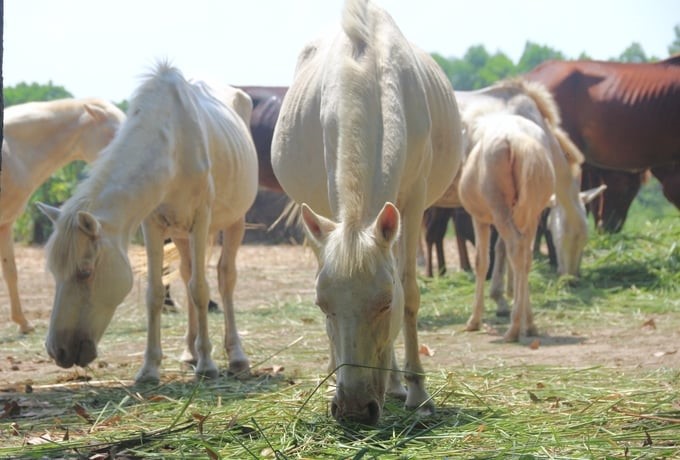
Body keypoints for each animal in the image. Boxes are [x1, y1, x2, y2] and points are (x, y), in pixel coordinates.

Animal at [38, 63, 258, 382]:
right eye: (54, 272)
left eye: (85, 272)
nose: (58, 351)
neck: (173, 145)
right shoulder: (153, 226)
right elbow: (156, 292)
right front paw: (150, 367)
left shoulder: (201, 219)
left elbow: (201, 289)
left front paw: (208, 364)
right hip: (181, 234)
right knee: (188, 273)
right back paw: (189, 352)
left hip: (233, 222)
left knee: (224, 277)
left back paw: (236, 356)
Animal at [270, 0, 462, 424]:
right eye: (323, 305)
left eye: (385, 303)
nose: (354, 409)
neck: (367, 71)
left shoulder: (414, 200)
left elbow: (409, 290)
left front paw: (417, 392)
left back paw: (395, 384)